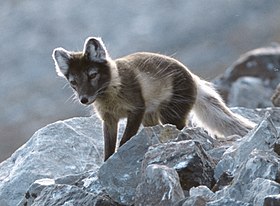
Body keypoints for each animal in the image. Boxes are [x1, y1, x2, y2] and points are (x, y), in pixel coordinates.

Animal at [51, 37, 255, 161]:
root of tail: (193, 77)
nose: (84, 99)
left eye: (92, 75)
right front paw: (107, 162)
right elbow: (108, 147)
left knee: (184, 129)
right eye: (73, 82)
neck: (112, 92)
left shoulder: (136, 110)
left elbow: (124, 141)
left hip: (170, 115)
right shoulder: (109, 119)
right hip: (151, 119)